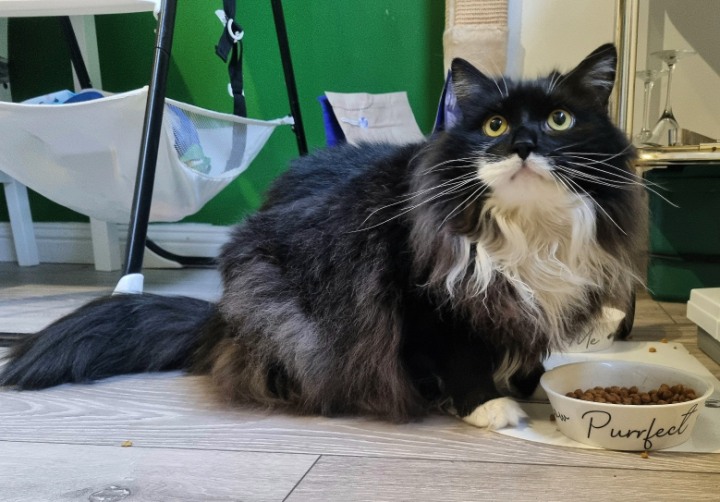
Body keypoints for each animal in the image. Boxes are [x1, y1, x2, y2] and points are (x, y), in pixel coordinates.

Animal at [0, 44, 645, 430]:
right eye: (494, 125)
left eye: (560, 119)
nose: (524, 145)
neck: (530, 231)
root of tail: (219, 317)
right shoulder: (429, 300)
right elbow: (462, 361)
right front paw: (491, 406)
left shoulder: (527, 302)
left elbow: (530, 351)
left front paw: (529, 385)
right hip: (284, 312)